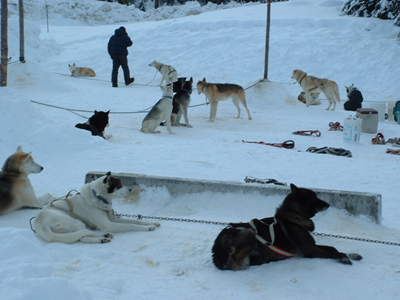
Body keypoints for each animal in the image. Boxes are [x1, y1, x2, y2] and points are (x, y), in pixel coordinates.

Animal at [212, 184, 362, 270]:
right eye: (315, 197)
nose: (328, 204)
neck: (294, 217)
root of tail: (217, 254)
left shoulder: (312, 246)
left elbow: (333, 248)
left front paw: (349, 255)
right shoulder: (310, 250)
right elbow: (331, 252)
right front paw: (343, 258)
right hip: (249, 232)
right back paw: (260, 260)